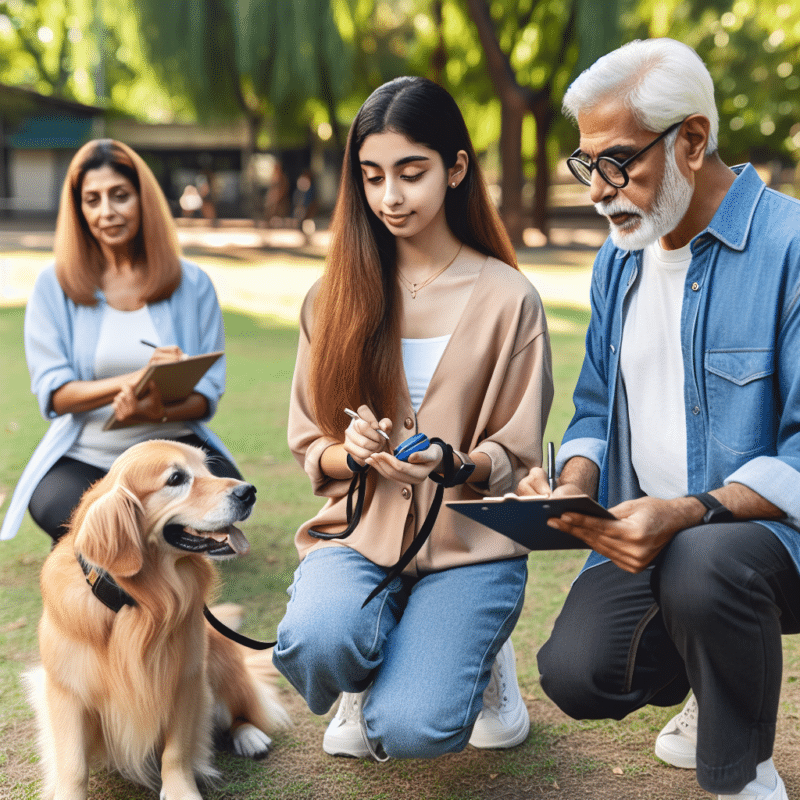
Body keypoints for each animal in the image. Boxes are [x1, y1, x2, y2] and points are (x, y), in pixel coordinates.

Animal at [25, 440, 294, 796]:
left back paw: (249, 735)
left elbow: (176, 750)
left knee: (242, 707)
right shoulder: (66, 690)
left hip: (219, 658)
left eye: (209, 468)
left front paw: (182, 791)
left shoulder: (185, 679)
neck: (138, 602)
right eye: (176, 478)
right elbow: (73, 765)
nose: (248, 492)